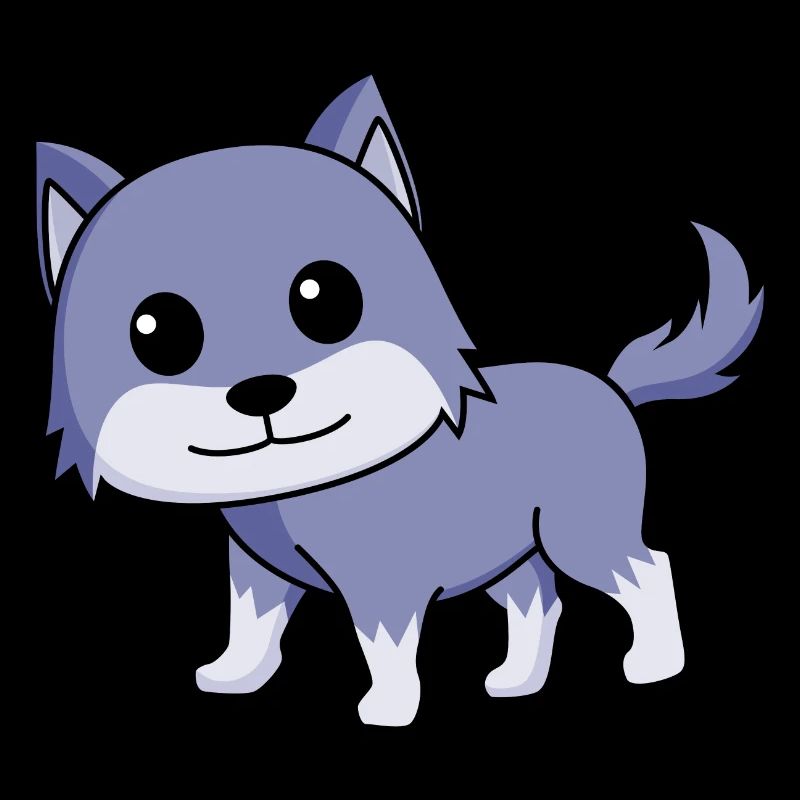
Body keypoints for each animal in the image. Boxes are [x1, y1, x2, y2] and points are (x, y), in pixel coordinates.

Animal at [37, 77, 763, 726]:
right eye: (156, 331)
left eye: (325, 297)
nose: (262, 392)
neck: (297, 485)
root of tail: (610, 385)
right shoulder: (257, 571)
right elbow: (251, 622)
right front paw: (234, 676)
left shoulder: (383, 580)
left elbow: (382, 646)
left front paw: (385, 710)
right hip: (509, 548)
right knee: (537, 599)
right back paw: (515, 681)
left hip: (578, 531)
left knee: (645, 570)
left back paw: (655, 665)